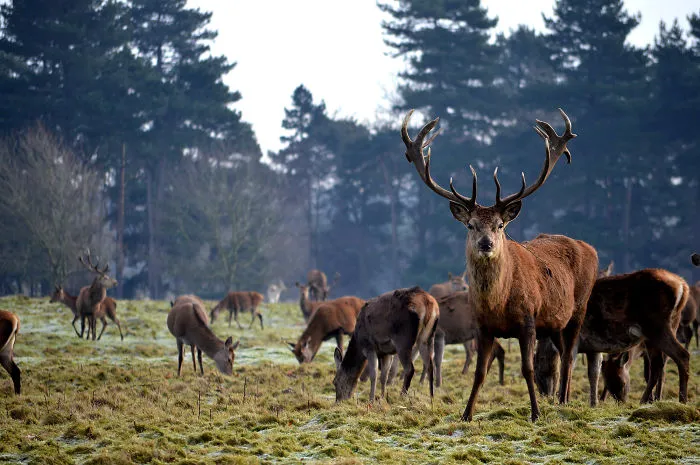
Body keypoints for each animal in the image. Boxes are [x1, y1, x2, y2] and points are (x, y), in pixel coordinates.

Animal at [402, 108, 598, 422]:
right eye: (470, 225)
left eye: (500, 225)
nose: (486, 244)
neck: (499, 302)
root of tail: (589, 248)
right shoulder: (483, 326)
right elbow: (480, 371)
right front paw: (466, 414)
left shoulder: (528, 320)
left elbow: (527, 369)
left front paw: (535, 413)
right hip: (555, 323)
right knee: (563, 353)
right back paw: (560, 399)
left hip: (579, 307)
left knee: (569, 355)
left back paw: (563, 401)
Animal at [534, 268, 690, 406]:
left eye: (539, 364)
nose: (545, 394)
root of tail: (682, 286)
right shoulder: (592, 348)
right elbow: (593, 373)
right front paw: (593, 403)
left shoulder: (569, 341)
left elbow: (567, 366)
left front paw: (564, 400)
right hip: (663, 329)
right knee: (658, 364)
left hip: (656, 326)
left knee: (681, 355)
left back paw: (680, 400)